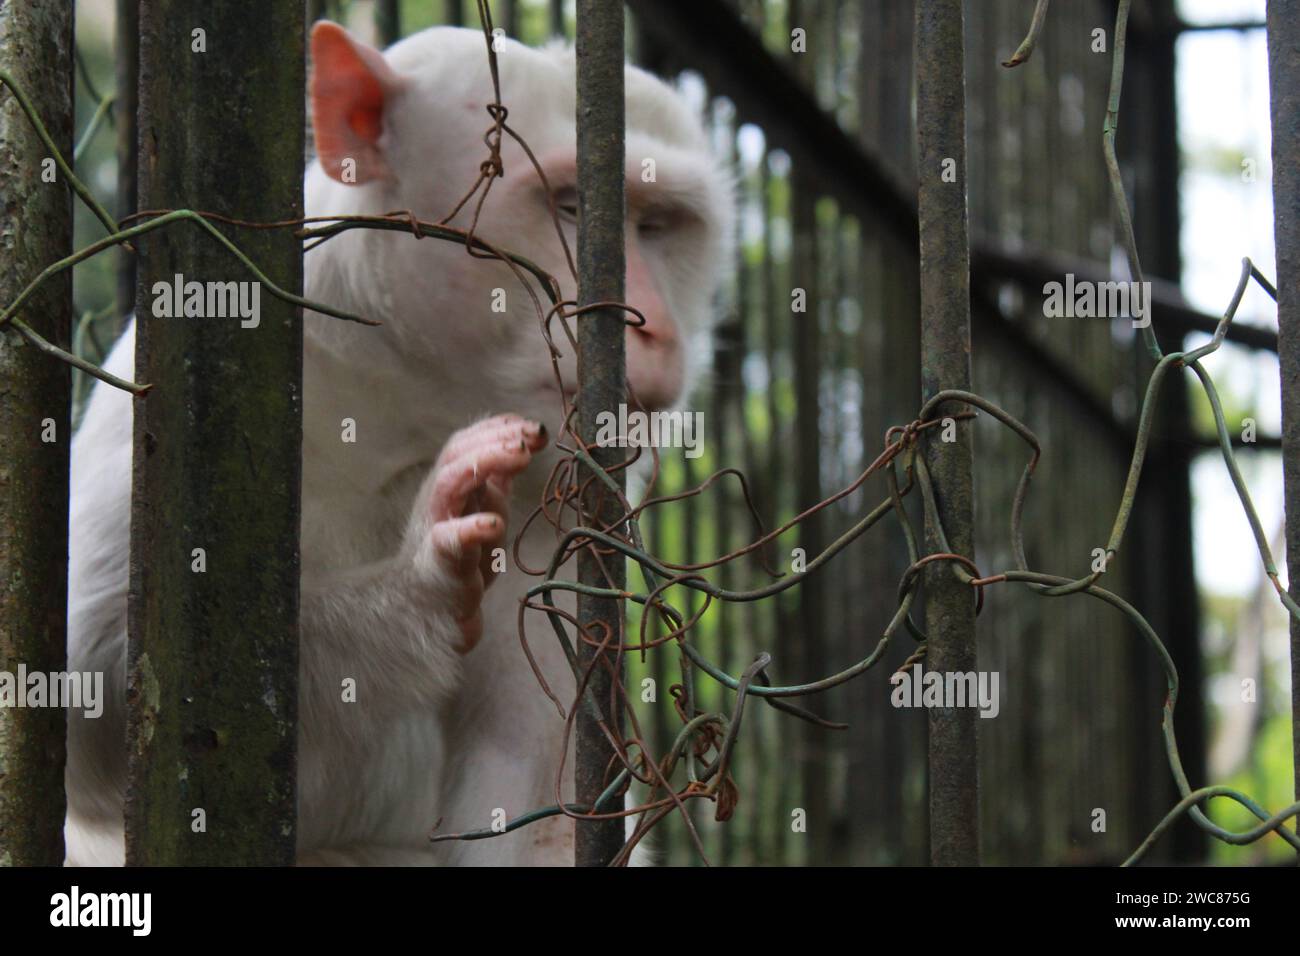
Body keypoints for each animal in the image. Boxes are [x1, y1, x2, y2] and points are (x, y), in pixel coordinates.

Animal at [63, 24, 733, 868]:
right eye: (573, 207)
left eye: (657, 225)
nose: (657, 328)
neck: (417, 397)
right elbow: (95, 684)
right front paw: (425, 578)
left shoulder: (561, 522)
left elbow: (539, 816)